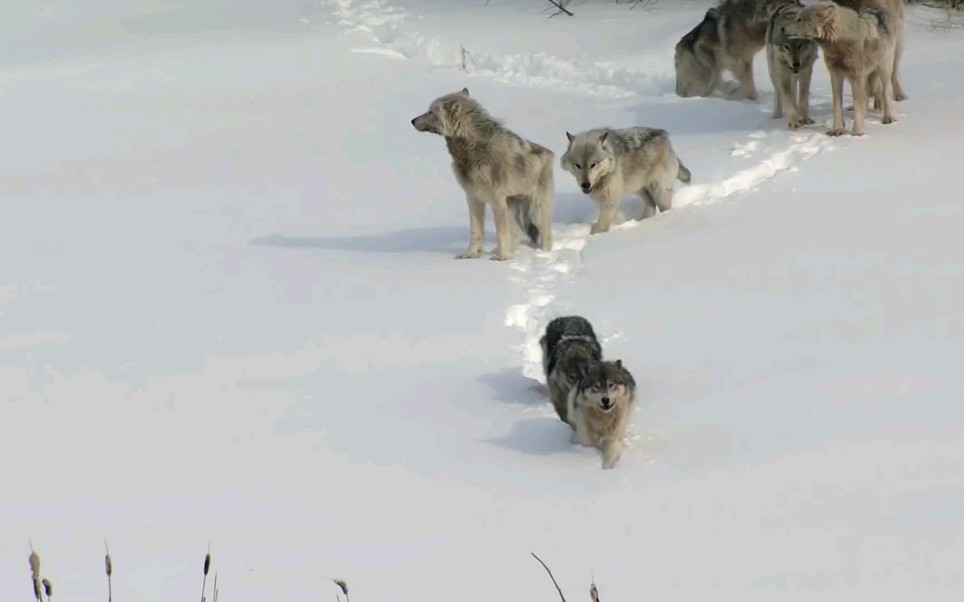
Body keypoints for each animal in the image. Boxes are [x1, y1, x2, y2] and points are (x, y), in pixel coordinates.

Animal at [408, 88, 556, 260]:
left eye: (431, 111)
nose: (412, 120)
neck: (471, 147)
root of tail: (550, 153)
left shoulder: (496, 199)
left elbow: (501, 232)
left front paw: (502, 258)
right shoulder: (473, 197)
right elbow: (475, 231)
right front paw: (471, 254)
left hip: (536, 209)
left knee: (546, 235)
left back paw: (543, 254)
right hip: (512, 205)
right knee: (517, 231)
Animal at [556, 127, 692, 234]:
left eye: (594, 164)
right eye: (577, 165)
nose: (585, 184)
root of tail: (665, 136)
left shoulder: (610, 201)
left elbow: (601, 227)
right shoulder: (604, 202)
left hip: (659, 191)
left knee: (664, 207)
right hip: (639, 188)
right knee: (651, 205)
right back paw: (641, 222)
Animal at [672, 0, 800, 101]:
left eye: (797, 1)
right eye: (792, 2)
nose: (803, 8)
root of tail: (677, 50)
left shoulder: (747, 59)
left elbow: (747, 81)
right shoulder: (736, 60)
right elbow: (747, 83)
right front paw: (752, 99)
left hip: (713, 75)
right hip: (706, 77)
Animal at [788, 1, 900, 135]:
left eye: (799, 19)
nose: (784, 29)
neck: (839, 43)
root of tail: (876, 9)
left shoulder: (856, 77)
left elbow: (858, 105)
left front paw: (857, 133)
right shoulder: (836, 76)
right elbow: (837, 105)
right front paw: (837, 129)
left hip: (883, 70)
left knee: (884, 94)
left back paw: (888, 118)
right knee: (866, 94)